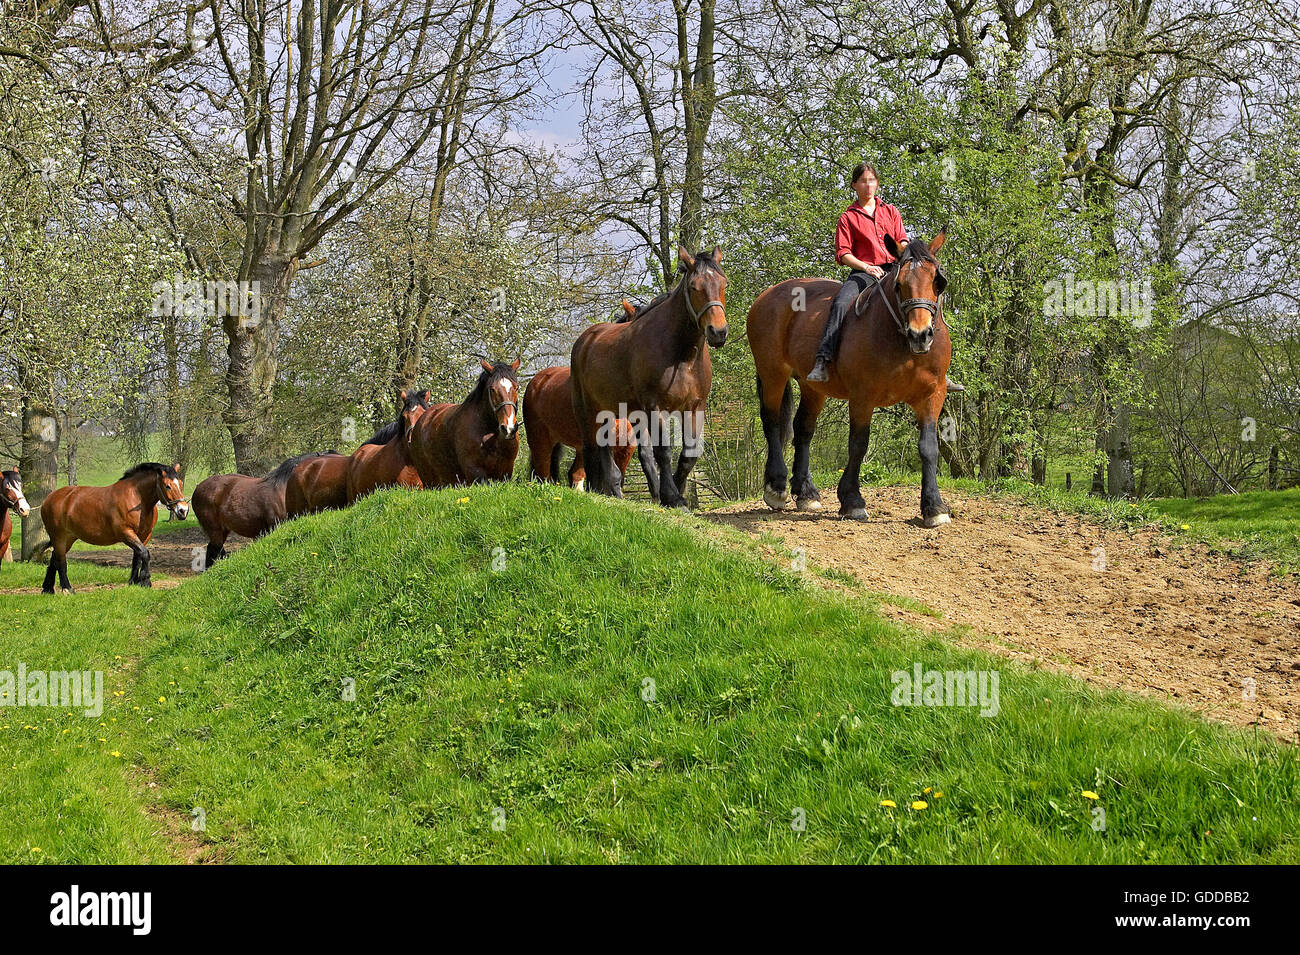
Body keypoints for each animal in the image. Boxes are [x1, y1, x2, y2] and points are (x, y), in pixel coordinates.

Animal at [38, 462, 189, 589]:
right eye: (167, 485)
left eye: (181, 484)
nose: (183, 510)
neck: (136, 498)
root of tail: (48, 499)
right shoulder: (126, 533)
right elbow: (145, 553)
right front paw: (145, 581)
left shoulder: (144, 535)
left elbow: (138, 556)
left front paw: (133, 582)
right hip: (59, 536)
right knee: (61, 560)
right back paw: (67, 589)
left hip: (68, 538)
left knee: (55, 557)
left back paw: (48, 589)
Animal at [572, 244, 728, 509]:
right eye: (694, 287)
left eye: (723, 283)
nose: (718, 332)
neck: (682, 355)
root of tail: (586, 339)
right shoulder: (656, 408)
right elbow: (662, 452)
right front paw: (672, 496)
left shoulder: (695, 407)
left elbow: (689, 454)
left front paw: (677, 490)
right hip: (587, 410)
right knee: (593, 446)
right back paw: (603, 488)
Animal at [748, 233, 951, 527]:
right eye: (899, 284)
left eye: (937, 281)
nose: (920, 334)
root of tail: (768, 294)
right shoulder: (862, 396)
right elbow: (858, 444)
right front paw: (852, 500)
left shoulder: (932, 395)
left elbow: (929, 448)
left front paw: (934, 506)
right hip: (772, 372)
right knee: (772, 422)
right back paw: (776, 486)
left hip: (812, 387)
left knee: (803, 429)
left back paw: (806, 492)